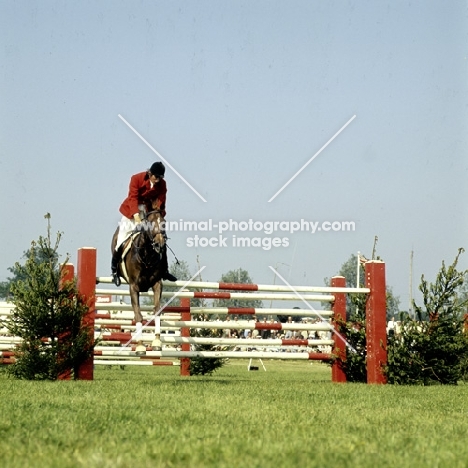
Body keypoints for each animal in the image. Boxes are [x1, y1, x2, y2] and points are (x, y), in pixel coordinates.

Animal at [110, 201, 167, 352]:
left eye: (164, 223)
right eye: (150, 223)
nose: (160, 244)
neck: (146, 255)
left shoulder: (157, 284)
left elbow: (157, 310)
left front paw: (157, 341)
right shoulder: (133, 287)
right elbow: (138, 315)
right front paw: (140, 345)